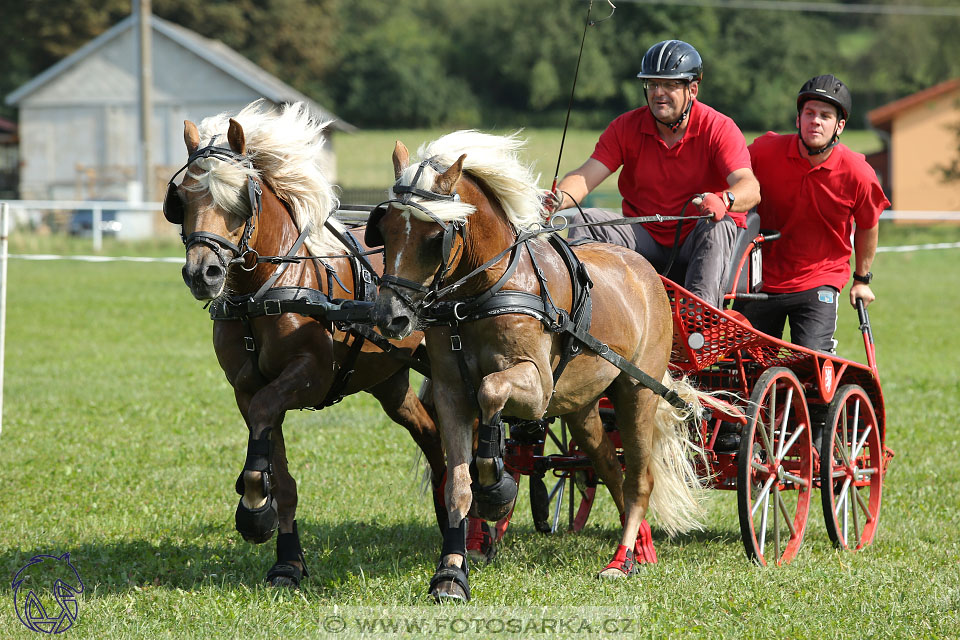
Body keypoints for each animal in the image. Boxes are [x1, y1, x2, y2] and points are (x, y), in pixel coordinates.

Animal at [166, 101, 450, 592]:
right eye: (181, 198)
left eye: (239, 198)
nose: (202, 273)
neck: (260, 293)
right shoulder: (247, 388)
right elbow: (279, 473)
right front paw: (287, 560)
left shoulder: (308, 375)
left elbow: (266, 424)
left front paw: (253, 511)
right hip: (389, 383)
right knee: (431, 436)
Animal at [368, 130, 712, 600]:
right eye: (383, 229)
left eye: (433, 236)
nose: (392, 318)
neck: (484, 289)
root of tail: (646, 271)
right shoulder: (450, 393)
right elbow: (457, 485)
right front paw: (451, 573)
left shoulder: (536, 388)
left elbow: (491, 391)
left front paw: (496, 485)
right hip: (583, 406)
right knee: (610, 468)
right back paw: (641, 550)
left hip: (637, 392)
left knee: (639, 480)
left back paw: (621, 560)